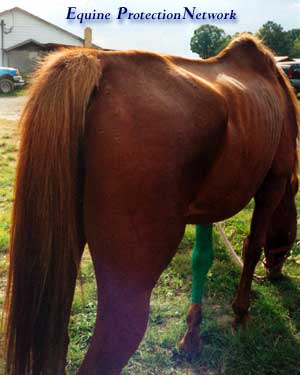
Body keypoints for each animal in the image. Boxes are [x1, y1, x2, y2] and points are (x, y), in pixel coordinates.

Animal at [2, 34, 300, 374]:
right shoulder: (273, 183)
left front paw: (192, 336)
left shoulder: (207, 206)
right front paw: (240, 311)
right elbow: (252, 246)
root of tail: (97, 65)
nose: (276, 273)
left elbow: (202, 259)